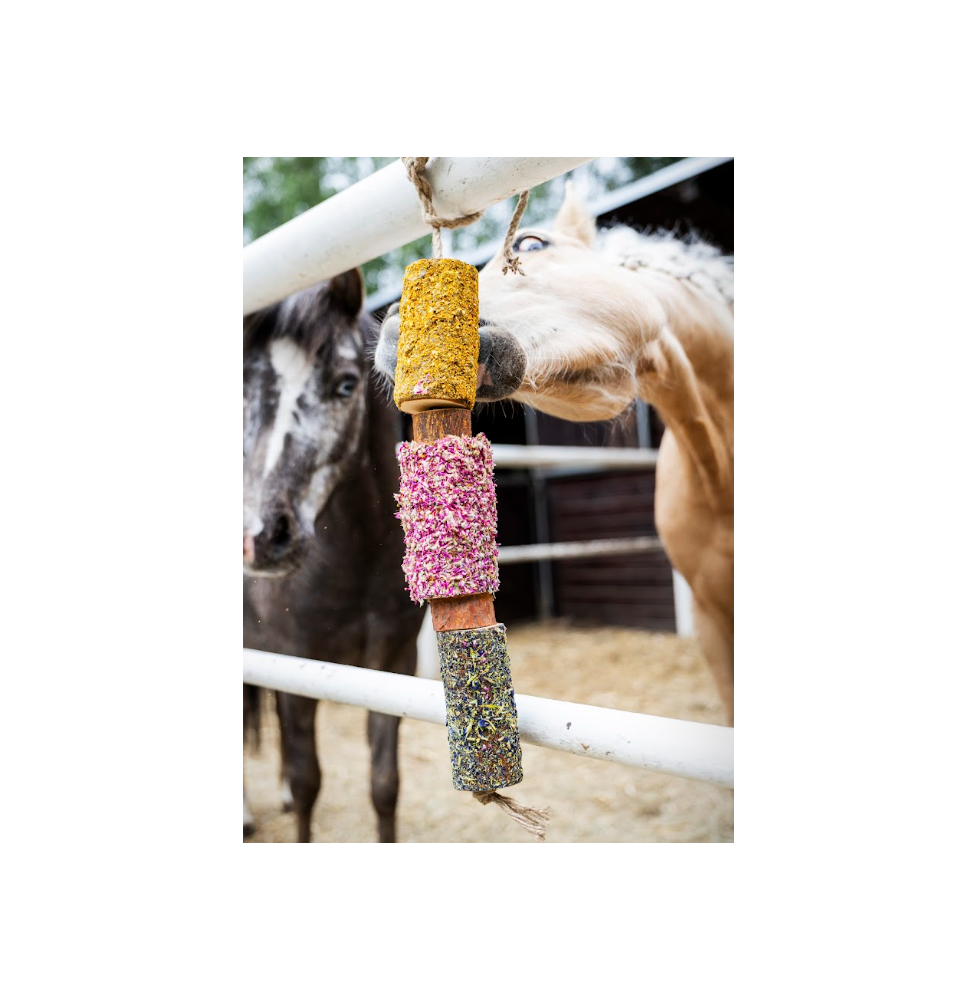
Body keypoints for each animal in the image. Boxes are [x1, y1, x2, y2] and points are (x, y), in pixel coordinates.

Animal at [243, 270, 425, 842]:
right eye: (247, 393)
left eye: (346, 385)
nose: (261, 538)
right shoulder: (294, 666)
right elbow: (309, 782)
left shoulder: (392, 667)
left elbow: (385, 784)